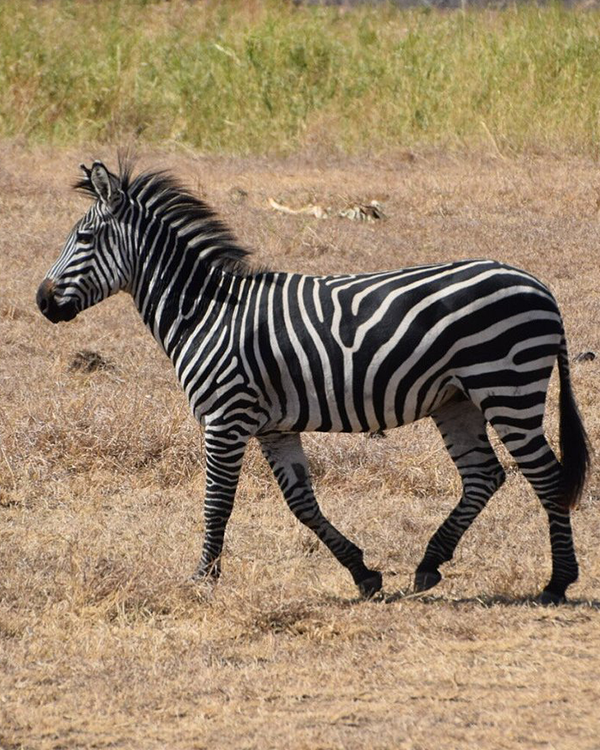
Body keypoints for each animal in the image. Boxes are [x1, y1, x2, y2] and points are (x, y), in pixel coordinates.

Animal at [37, 160, 590, 604]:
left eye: (83, 239)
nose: (42, 302)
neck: (206, 312)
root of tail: (539, 286)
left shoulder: (225, 417)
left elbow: (217, 501)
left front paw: (203, 578)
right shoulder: (273, 426)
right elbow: (302, 502)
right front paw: (363, 574)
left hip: (506, 387)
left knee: (545, 476)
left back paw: (558, 582)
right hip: (457, 399)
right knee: (484, 475)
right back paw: (431, 563)